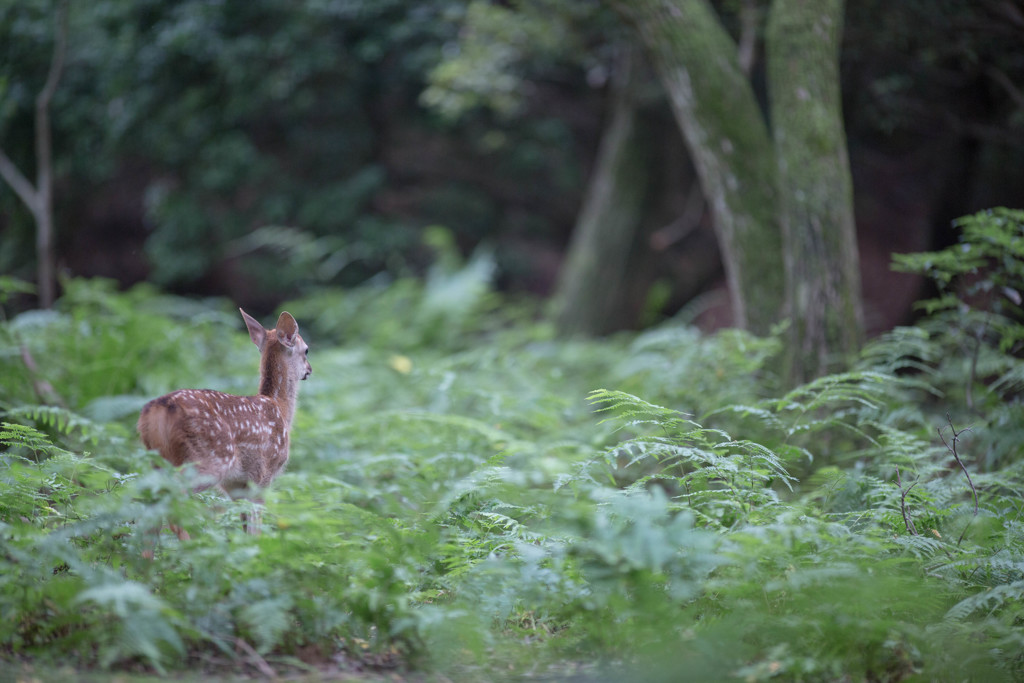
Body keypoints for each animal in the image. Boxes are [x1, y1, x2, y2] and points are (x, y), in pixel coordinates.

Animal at [138, 309, 309, 544]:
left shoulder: (235, 485)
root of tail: (156, 411)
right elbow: (255, 528)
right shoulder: (264, 474)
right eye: (307, 350)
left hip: (157, 461)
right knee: (173, 507)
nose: (309, 370)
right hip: (208, 460)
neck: (280, 408)